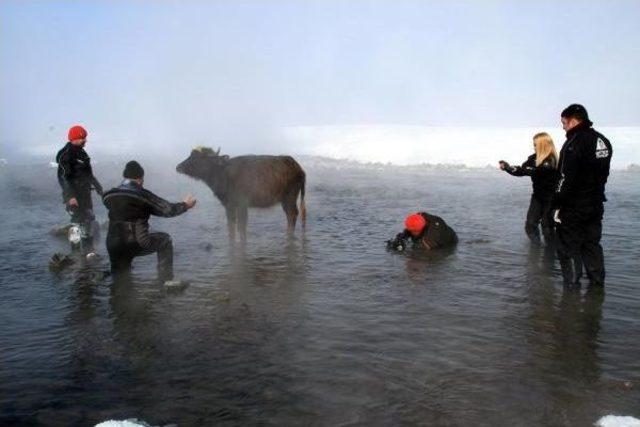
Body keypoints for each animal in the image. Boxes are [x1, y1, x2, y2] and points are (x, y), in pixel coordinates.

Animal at [175, 148, 304, 241]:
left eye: (199, 158)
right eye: (191, 155)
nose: (178, 167)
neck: (223, 174)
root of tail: (299, 168)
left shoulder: (242, 204)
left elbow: (241, 226)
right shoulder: (229, 205)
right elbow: (231, 226)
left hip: (290, 197)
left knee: (292, 214)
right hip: (285, 200)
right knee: (290, 215)